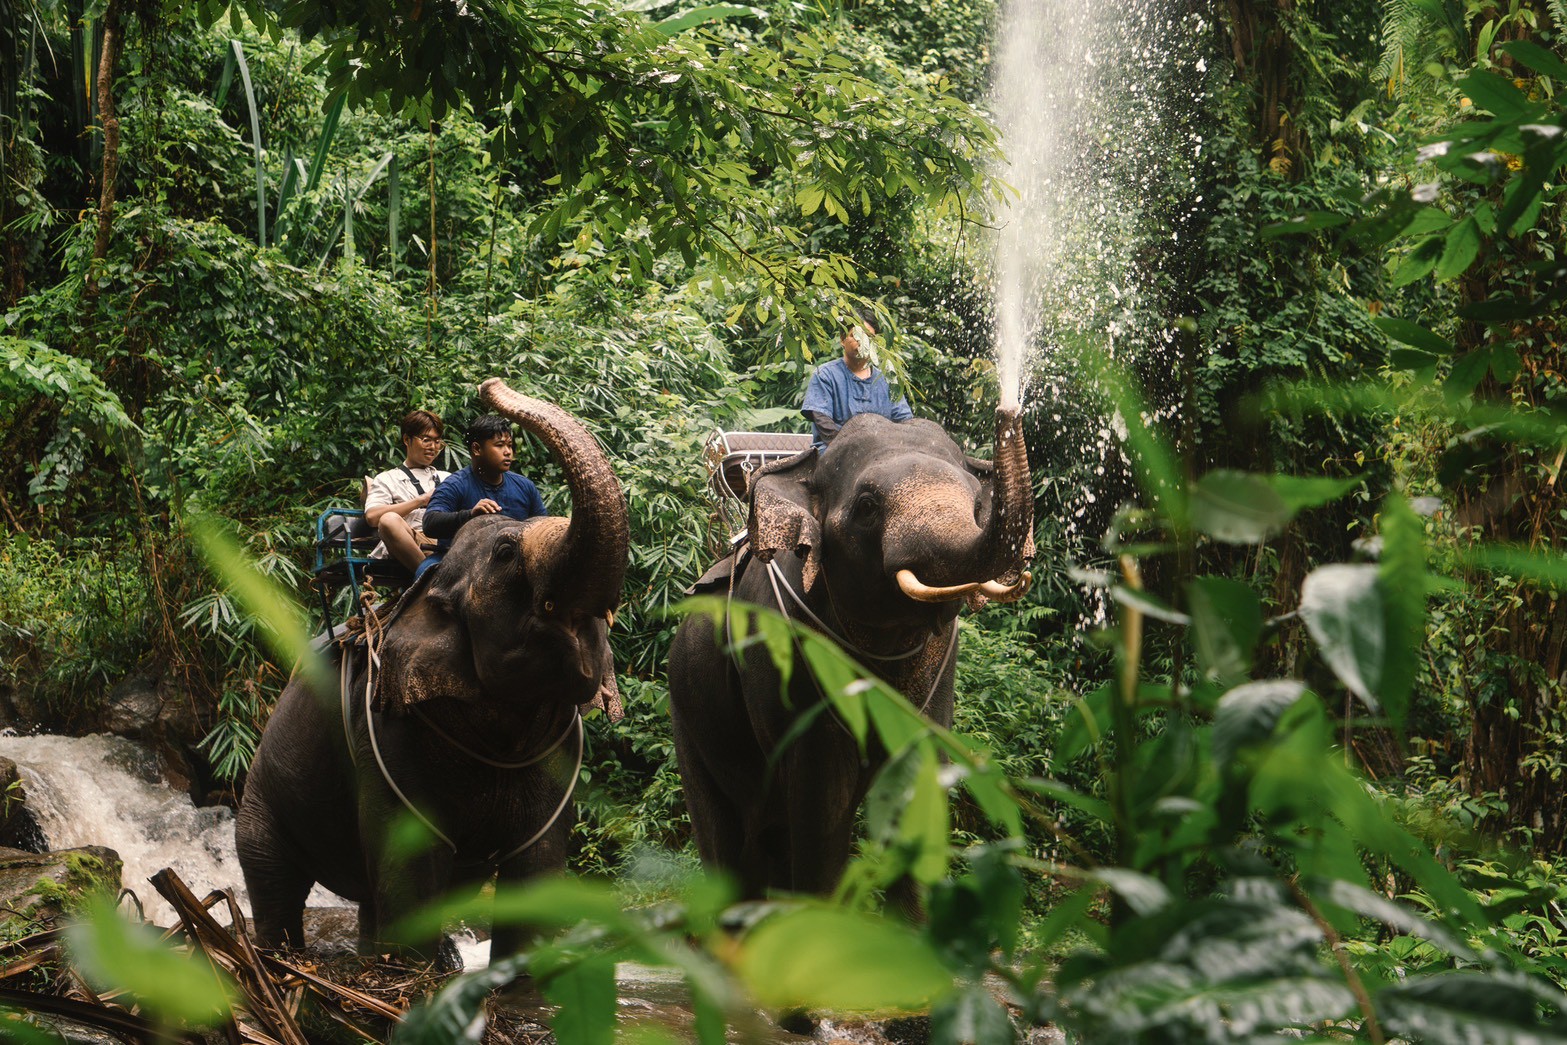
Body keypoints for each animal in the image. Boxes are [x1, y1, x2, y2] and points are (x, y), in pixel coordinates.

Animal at [235, 378, 628, 964]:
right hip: (262, 785)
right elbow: (414, 864)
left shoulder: (558, 748)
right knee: (272, 877)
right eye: (506, 551)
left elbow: (536, 868)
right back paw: (280, 962)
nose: (490, 387)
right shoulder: (385, 727)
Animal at [668, 407, 1032, 902]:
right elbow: (821, 810)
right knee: (727, 845)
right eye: (867, 507)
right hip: (685, 713)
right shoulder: (788, 653)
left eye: (978, 506)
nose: (1009, 408)